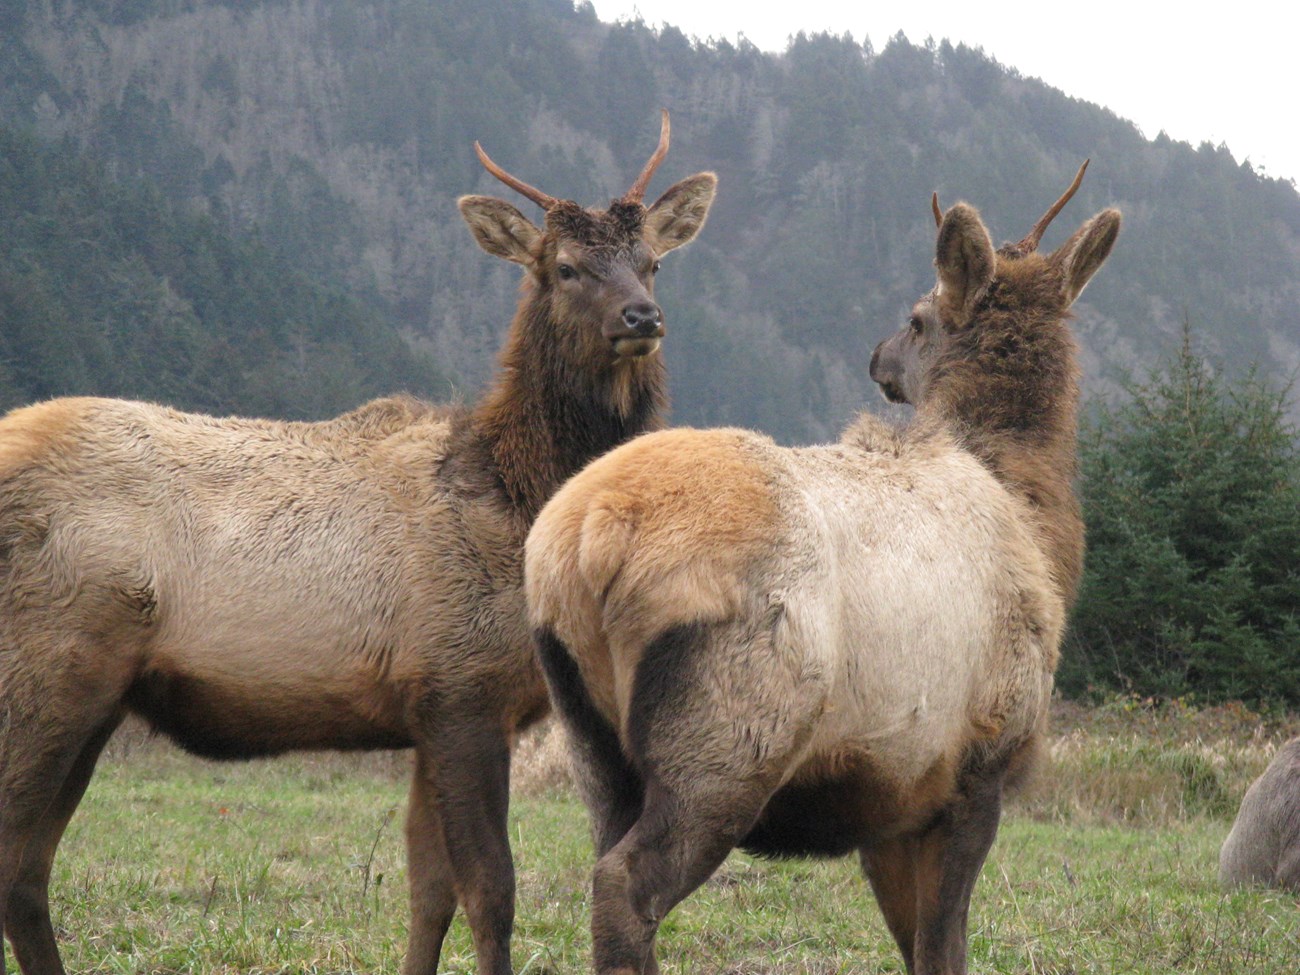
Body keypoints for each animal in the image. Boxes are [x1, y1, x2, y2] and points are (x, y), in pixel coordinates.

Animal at [0, 110, 717, 975]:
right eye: (566, 268)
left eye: (653, 263)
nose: (641, 318)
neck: (518, 503)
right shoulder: (462, 688)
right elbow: (491, 890)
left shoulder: (426, 709)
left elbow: (428, 890)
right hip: (48, 665)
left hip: (94, 693)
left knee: (27, 869)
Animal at [525, 167, 1118, 975]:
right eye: (920, 312)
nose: (878, 356)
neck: (1040, 525)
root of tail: (587, 541)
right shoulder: (978, 763)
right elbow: (945, 944)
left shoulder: (895, 793)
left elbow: (916, 943)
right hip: (732, 732)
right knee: (626, 884)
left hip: (591, 742)